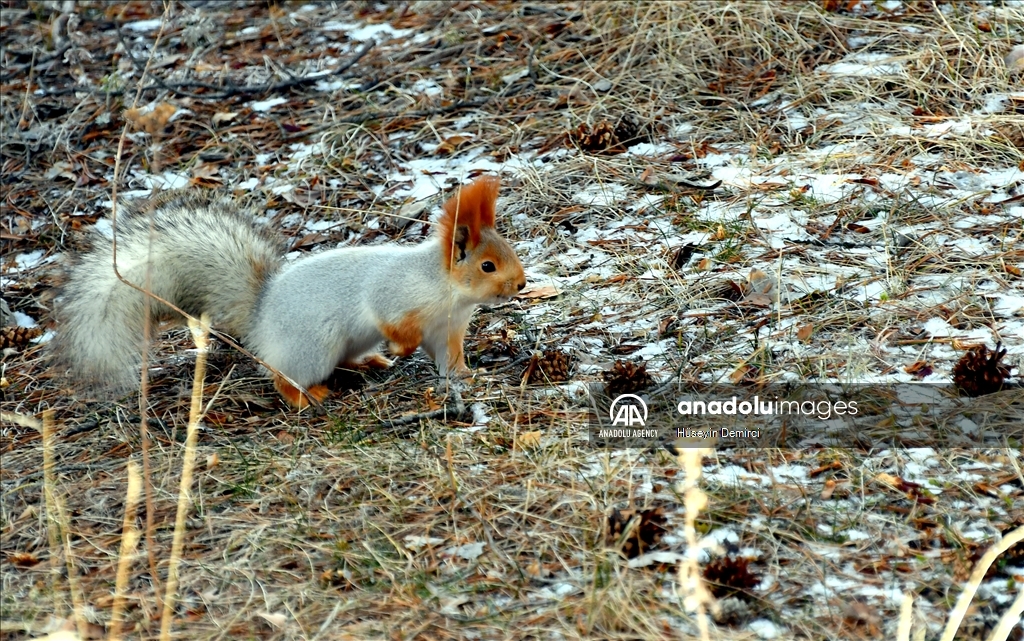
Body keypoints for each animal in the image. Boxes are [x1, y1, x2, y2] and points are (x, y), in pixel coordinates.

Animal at [56, 175, 524, 403]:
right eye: (487, 265)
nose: (520, 283)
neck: (448, 291)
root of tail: (260, 317)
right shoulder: (393, 294)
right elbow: (389, 319)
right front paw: (401, 347)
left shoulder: (448, 329)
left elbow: (449, 359)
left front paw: (467, 375)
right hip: (312, 347)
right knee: (282, 378)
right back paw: (307, 396)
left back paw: (368, 363)